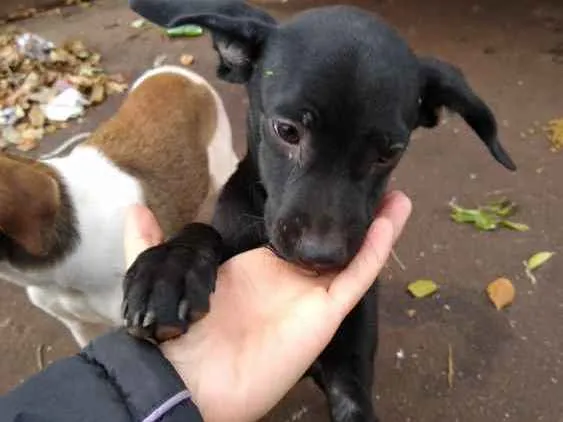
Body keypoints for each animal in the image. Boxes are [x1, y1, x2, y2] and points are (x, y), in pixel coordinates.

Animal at [122, 1, 516, 420]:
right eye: (287, 130)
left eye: (389, 153)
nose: (321, 256)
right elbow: (201, 231)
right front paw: (168, 270)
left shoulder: (350, 355)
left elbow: (354, 400)